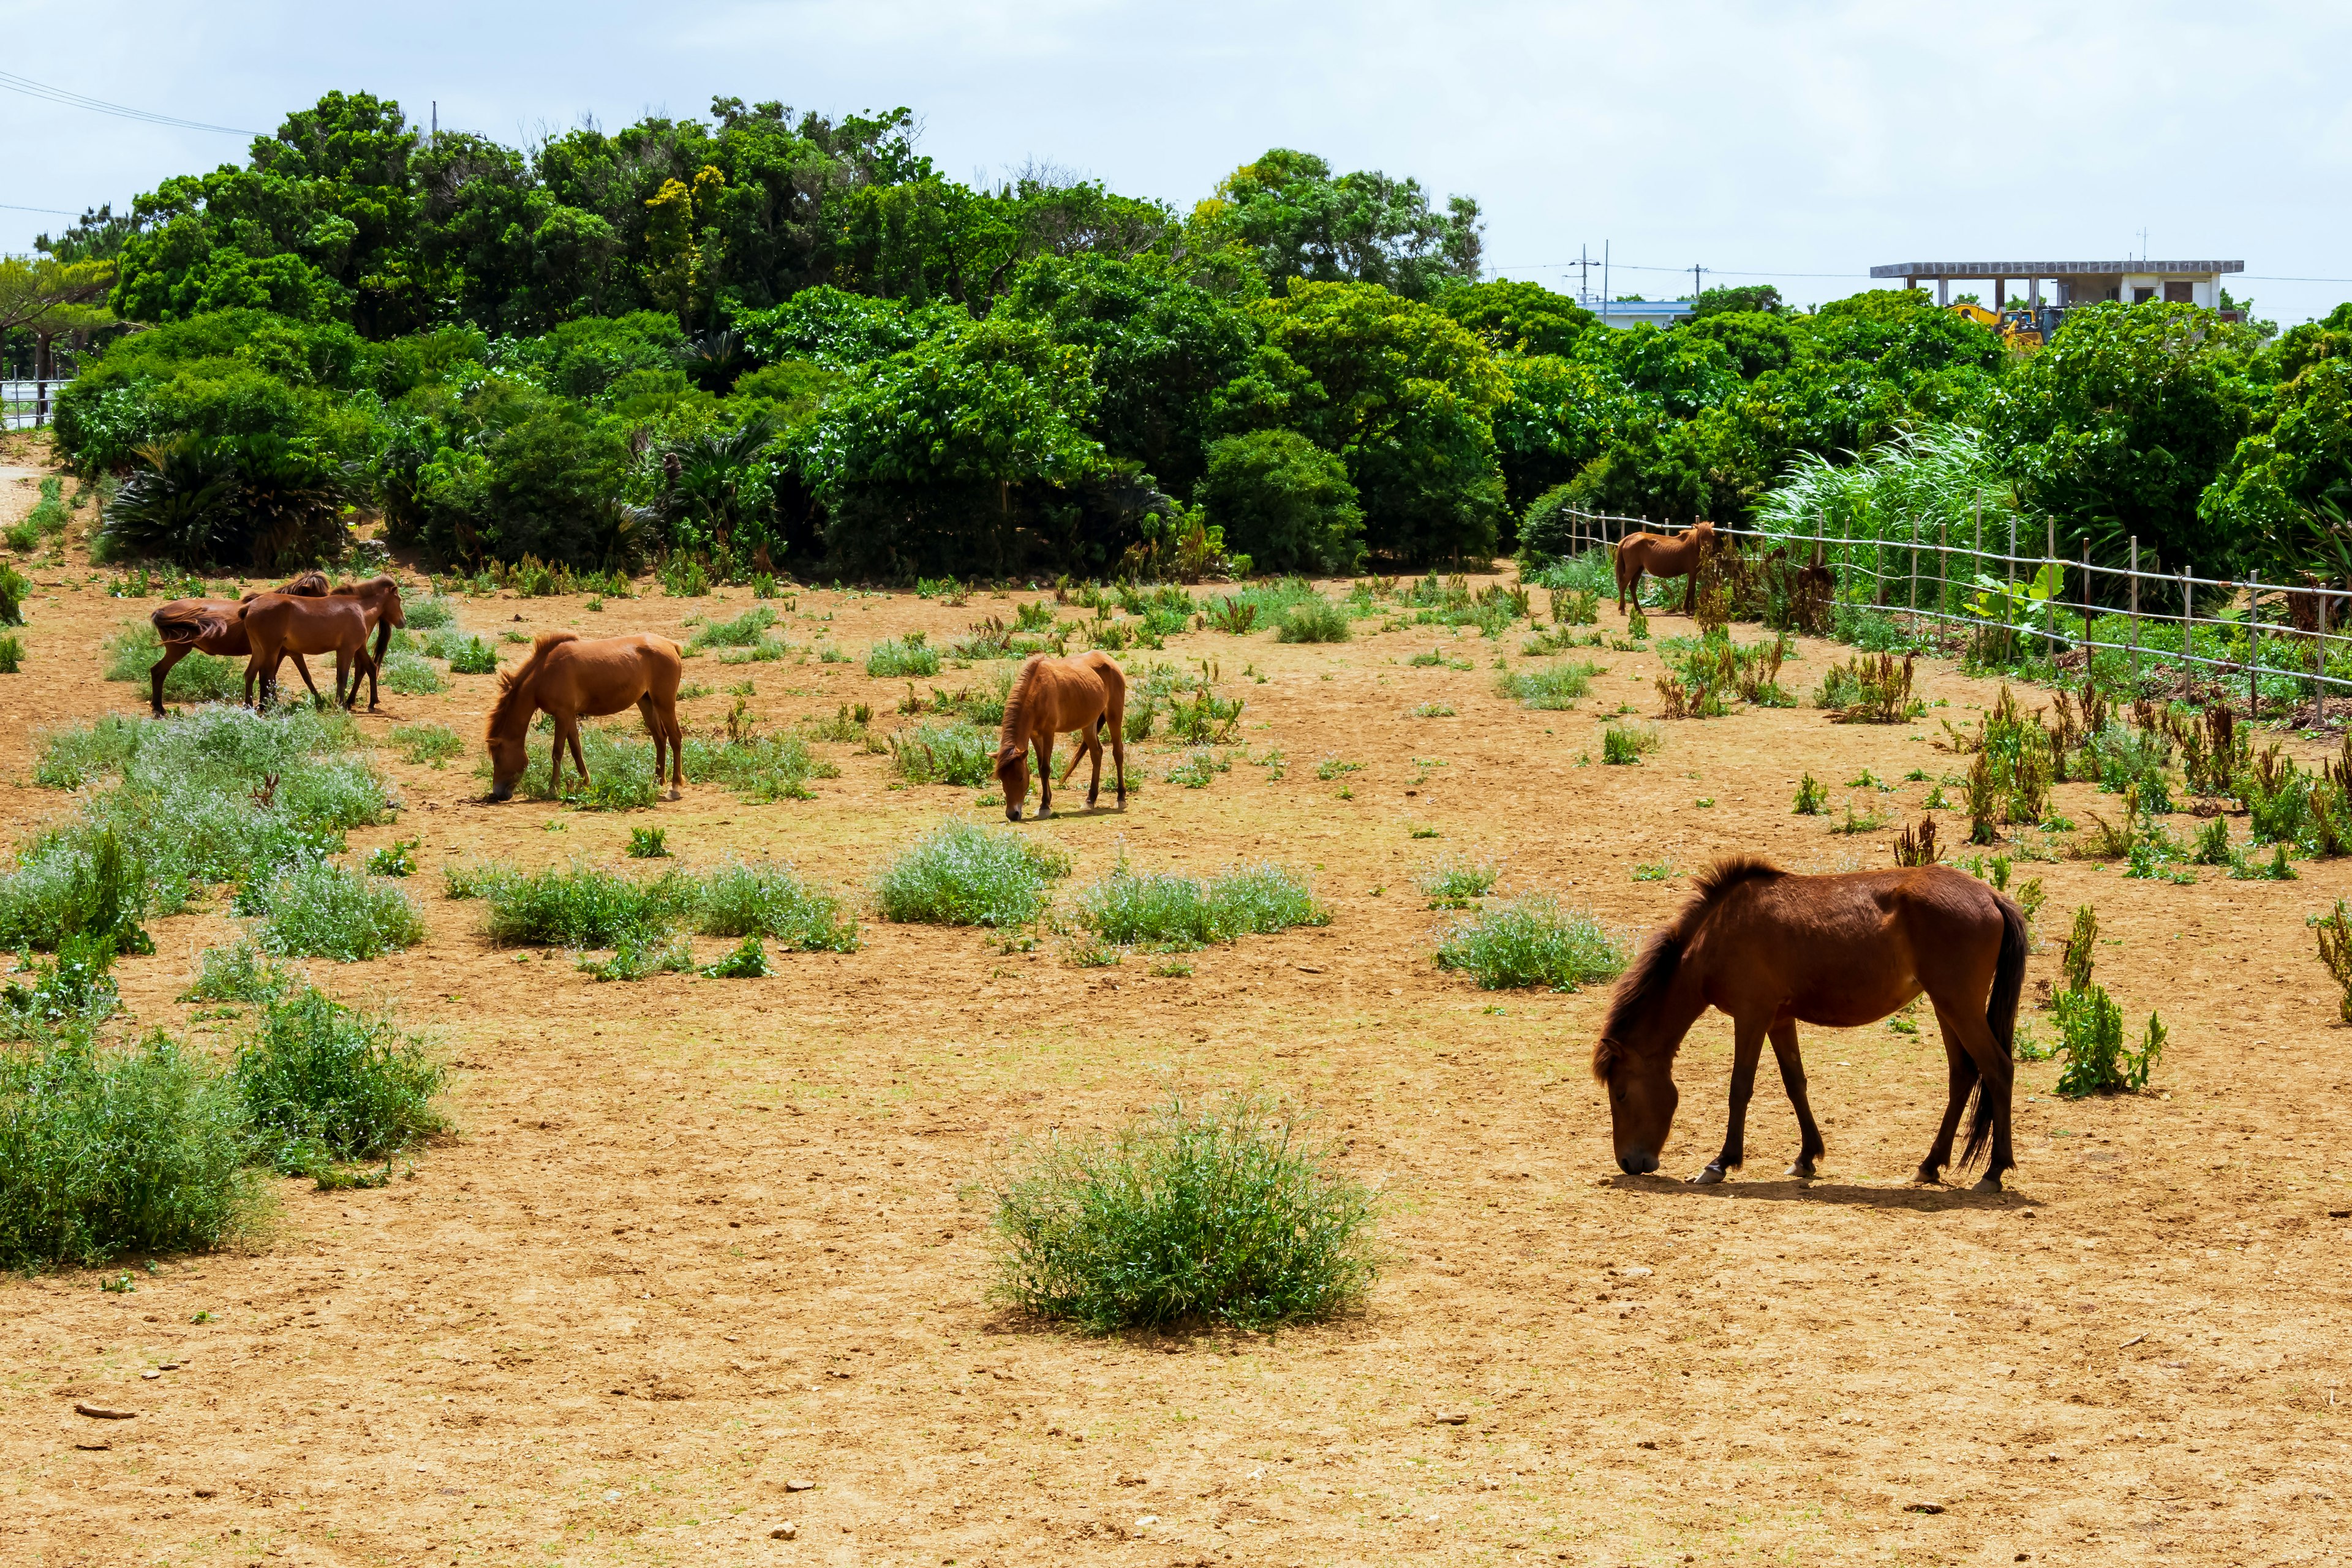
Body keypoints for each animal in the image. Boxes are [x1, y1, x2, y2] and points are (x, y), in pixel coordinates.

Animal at [146, 566, 331, 714]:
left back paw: (159, 708)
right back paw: (158, 709)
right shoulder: (282, 652)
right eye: (320, 596)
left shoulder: (288, 652)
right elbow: (277, 677)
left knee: (158, 672)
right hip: (178, 649)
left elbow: (301, 677)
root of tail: (162, 610)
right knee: (158, 671)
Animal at [482, 630, 687, 804]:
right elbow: (576, 749)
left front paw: (552, 789)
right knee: (660, 738)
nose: (497, 794)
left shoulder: (562, 714)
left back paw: (675, 787)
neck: (544, 673)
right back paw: (657, 781)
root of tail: (671, 645)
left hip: (665, 704)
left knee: (675, 738)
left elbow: (557, 752)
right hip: (646, 702)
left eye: (497, 758)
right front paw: (585, 781)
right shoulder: (569, 715)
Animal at [992, 649, 1129, 823]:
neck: (1035, 690)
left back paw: (1121, 797)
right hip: (1089, 723)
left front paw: (1045, 806)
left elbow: (1045, 768)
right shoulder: (1034, 735)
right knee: (1097, 754)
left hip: (1114, 716)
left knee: (1118, 753)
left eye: (1021, 778)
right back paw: (1090, 799)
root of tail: (1109, 660)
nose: (1013, 814)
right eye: (1002, 778)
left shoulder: (1048, 732)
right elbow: (1040, 766)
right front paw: (1047, 801)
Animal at [1589, 860, 2032, 1189]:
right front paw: (1806, 1158)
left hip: (1959, 1006)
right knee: (1962, 1075)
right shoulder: (1779, 1020)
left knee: (1997, 1069)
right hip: (1947, 1008)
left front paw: (1720, 1163)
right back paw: (1931, 1164)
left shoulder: (1752, 1015)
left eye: (1621, 1093)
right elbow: (1794, 1084)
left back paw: (1994, 1171)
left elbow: (1740, 1088)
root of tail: (1991, 895)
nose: (1629, 1161)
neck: (1718, 935)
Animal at [1608, 514, 1721, 611]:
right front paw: (1692, 609)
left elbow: (1689, 589)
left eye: (1712, 536)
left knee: (1632, 587)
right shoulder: (1693, 572)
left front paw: (1686, 608)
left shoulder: (1693, 573)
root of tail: (1628, 539)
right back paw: (1622, 609)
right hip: (1632, 569)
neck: (1693, 546)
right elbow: (1692, 590)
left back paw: (1639, 610)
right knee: (1623, 585)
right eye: (1701, 537)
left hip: (1639, 569)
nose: (1709, 552)